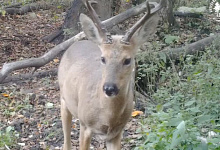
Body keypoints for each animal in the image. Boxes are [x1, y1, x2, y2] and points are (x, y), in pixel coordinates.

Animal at [58, 0, 163, 149]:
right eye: (102, 58)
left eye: (127, 60)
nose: (109, 88)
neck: (108, 117)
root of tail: (77, 43)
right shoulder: (85, 125)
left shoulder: (116, 132)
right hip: (63, 99)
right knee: (66, 140)